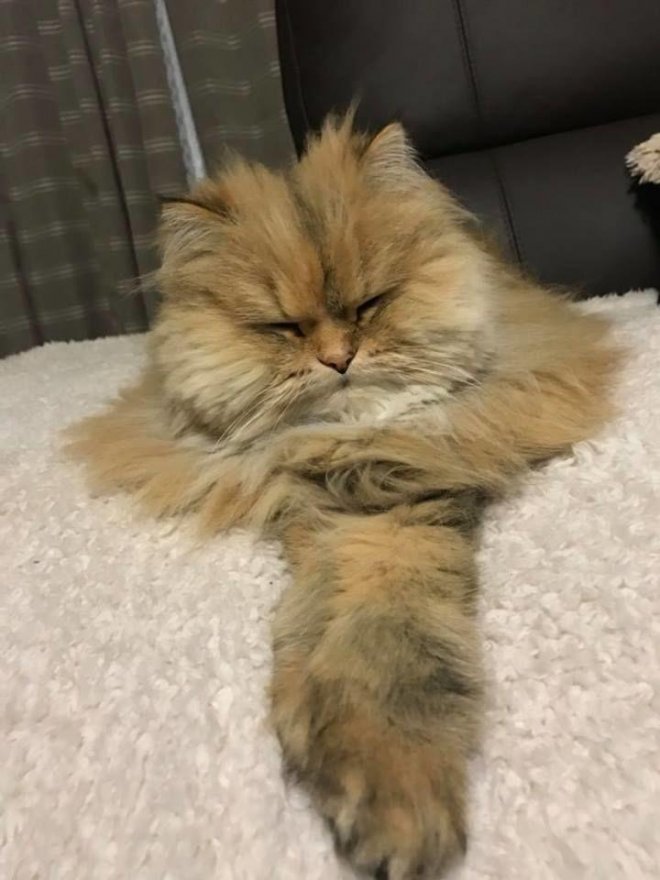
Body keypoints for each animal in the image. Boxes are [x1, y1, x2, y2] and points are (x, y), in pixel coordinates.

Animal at [66, 112, 619, 880]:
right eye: (283, 327)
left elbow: (388, 641)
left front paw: (389, 789)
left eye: (369, 304)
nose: (338, 360)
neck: (349, 449)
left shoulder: (400, 504)